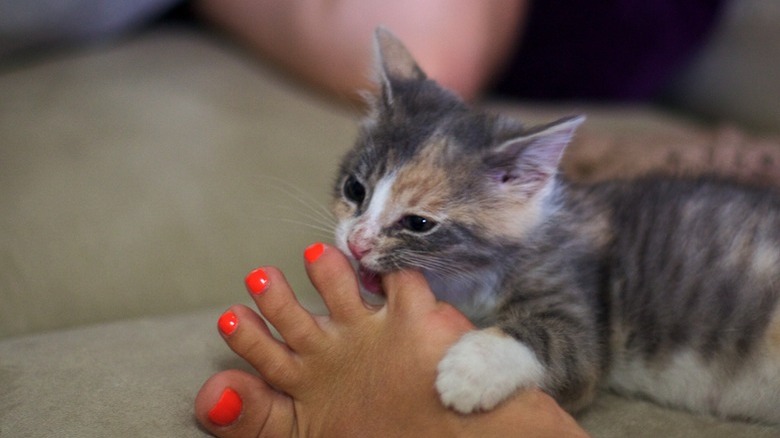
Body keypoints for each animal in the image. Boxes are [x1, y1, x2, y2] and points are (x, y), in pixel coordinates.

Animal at [330, 29, 780, 422]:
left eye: (419, 223)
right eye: (355, 188)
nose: (357, 243)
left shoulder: (578, 301)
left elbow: (559, 343)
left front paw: (470, 371)